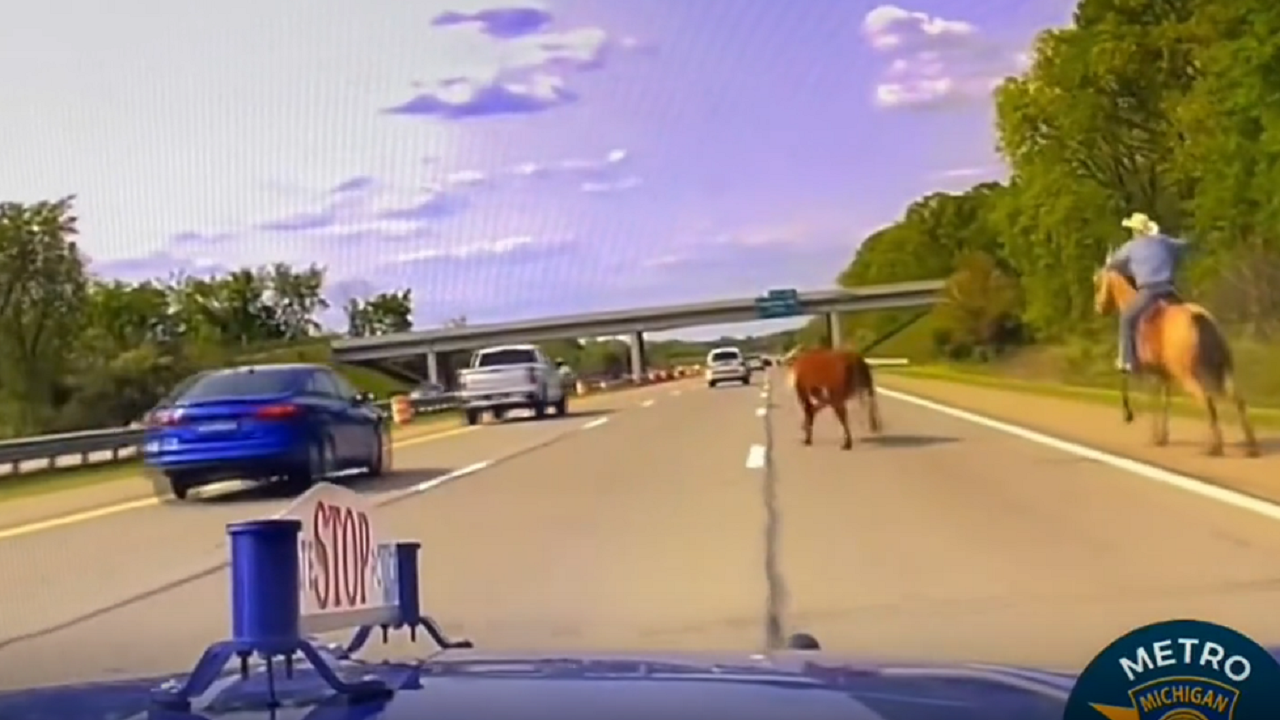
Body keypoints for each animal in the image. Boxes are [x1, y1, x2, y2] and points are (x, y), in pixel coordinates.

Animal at [1090, 262, 1259, 453]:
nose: (1098, 308)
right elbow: (1166, 403)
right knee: (1237, 400)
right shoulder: (1164, 376)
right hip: (1224, 370)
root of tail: (1198, 317)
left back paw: (1214, 446)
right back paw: (1250, 446)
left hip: (1188, 375)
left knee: (1207, 401)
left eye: (1098, 284)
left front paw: (1155, 437)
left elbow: (1154, 402)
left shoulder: (1152, 374)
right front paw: (1163, 437)